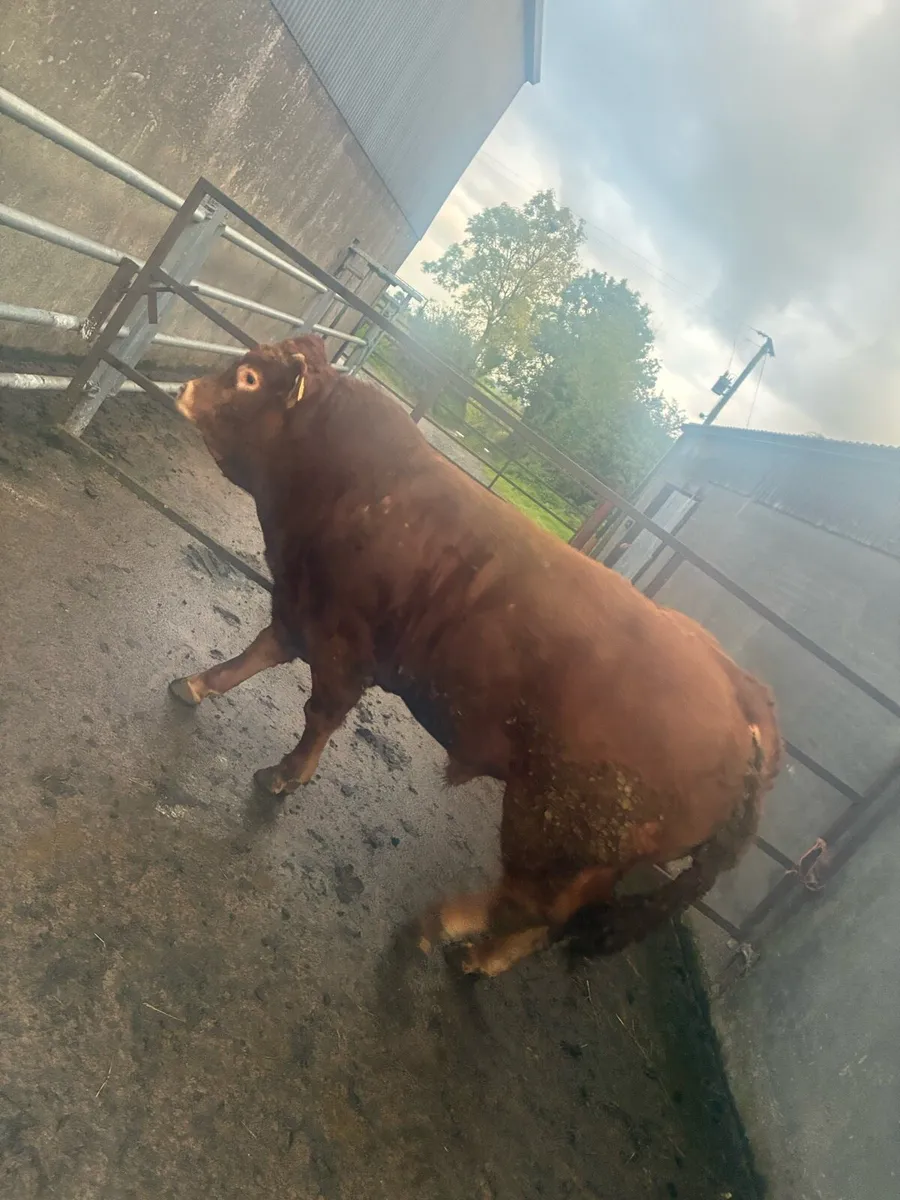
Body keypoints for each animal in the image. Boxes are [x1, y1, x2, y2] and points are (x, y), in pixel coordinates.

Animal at [170, 334, 782, 977]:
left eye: (249, 379)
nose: (183, 388)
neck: (360, 482)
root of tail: (746, 700)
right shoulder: (301, 604)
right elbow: (256, 655)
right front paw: (197, 684)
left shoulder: (342, 639)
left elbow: (320, 714)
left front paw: (286, 775)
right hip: (591, 858)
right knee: (548, 920)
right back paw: (482, 958)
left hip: (549, 829)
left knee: (531, 905)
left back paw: (445, 925)